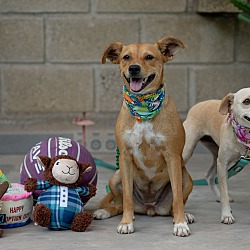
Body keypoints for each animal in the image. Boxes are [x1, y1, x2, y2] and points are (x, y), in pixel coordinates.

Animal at [94, 36, 193, 235]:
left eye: (149, 57)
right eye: (126, 57)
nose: (134, 68)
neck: (143, 106)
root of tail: (150, 207)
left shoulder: (172, 156)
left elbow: (178, 197)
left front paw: (180, 224)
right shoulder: (125, 157)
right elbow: (126, 198)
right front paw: (126, 222)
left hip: (187, 178)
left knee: (173, 205)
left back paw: (184, 216)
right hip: (115, 177)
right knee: (119, 204)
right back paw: (106, 212)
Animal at [182, 88, 250, 225]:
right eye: (247, 101)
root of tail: (196, 106)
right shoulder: (222, 164)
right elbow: (224, 192)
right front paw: (226, 215)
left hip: (216, 155)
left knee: (209, 176)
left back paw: (217, 196)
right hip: (188, 151)